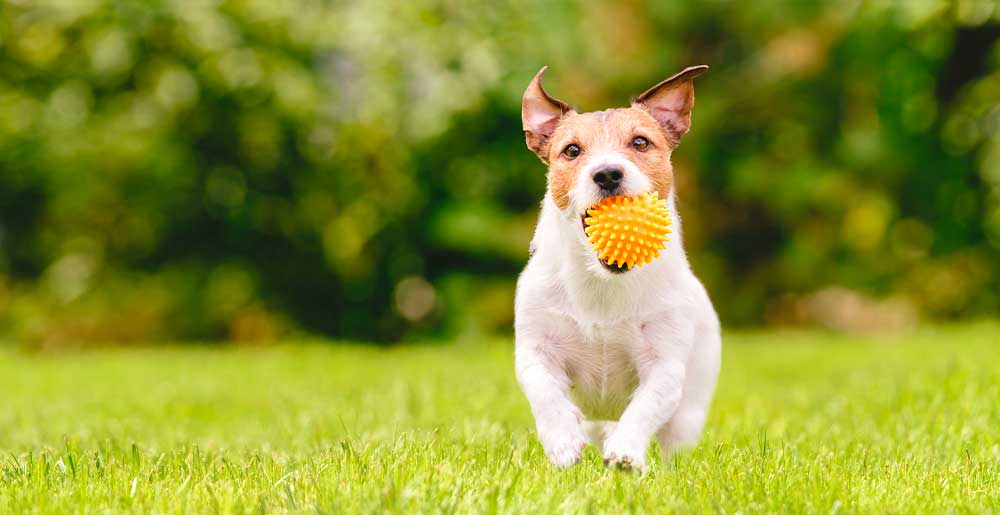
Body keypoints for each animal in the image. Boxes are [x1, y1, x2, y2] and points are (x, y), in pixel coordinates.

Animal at [516, 65, 720, 472]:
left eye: (640, 142)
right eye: (572, 150)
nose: (608, 173)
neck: (602, 284)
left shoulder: (665, 365)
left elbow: (645, 406)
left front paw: (625, 452)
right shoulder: (534, 349)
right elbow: (546, 393)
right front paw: (562, 442)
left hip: (690, 410)